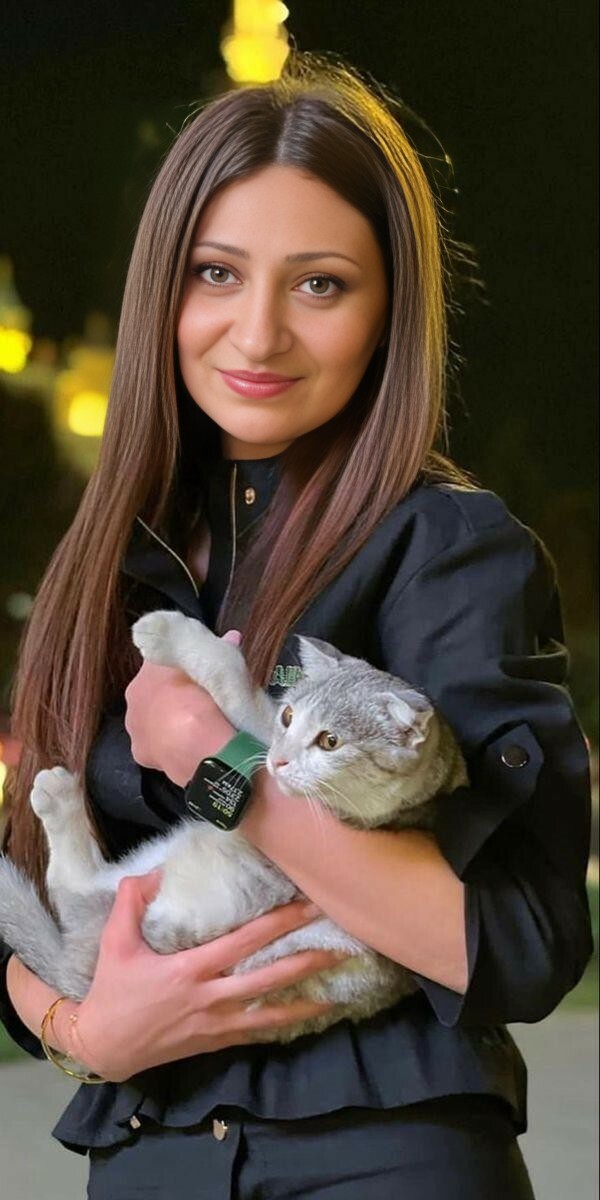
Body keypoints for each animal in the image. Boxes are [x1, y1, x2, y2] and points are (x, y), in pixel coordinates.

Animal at [0, 615, 467, 1042]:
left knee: (70, 889)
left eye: (329, 742)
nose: (278, 759)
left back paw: (56, 796)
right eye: (289, 716)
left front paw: (171, 631)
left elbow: (232, 677)